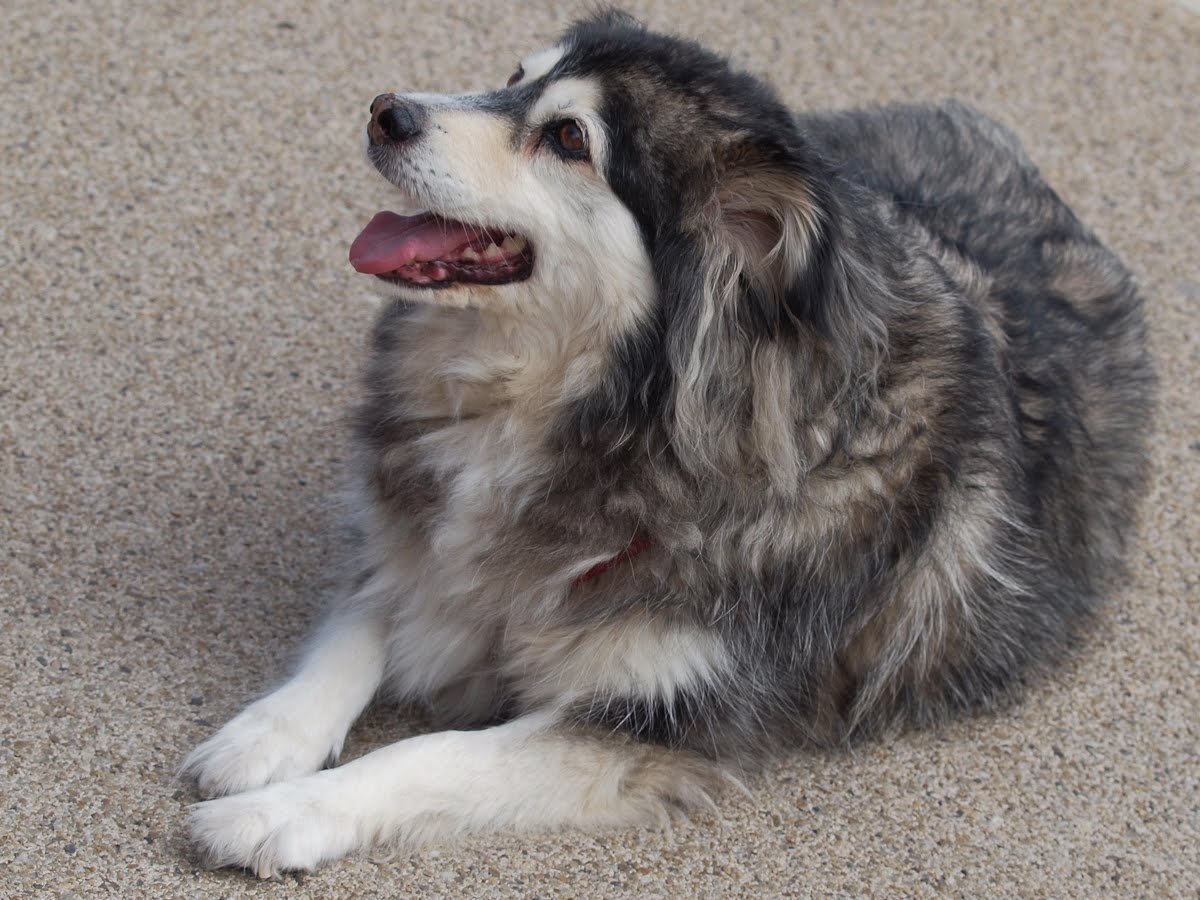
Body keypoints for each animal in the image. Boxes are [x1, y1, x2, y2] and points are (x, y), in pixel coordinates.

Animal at [182, 10, 1156, 878]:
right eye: (512, 76)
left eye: (568, 137)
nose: (388, 110)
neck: (604, 412)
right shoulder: (429, 524)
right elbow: (363, 619)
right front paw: (265, 736)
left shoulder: (661, 720)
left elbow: (434, 754)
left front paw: (277, 814)